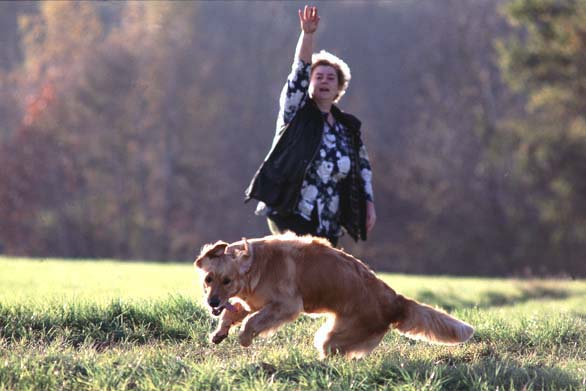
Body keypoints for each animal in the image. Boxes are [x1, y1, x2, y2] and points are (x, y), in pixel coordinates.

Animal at [194, 233, 472, 358]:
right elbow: (235, 314)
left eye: (227, 281)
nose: (213, 302)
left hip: (333, 336)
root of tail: (395, 301)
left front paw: (244, 338)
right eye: (208, 279)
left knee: (332, 353)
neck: (257, 266)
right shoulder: (252, 302)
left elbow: (253, 321)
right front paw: (219, 333)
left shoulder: (287, 305)